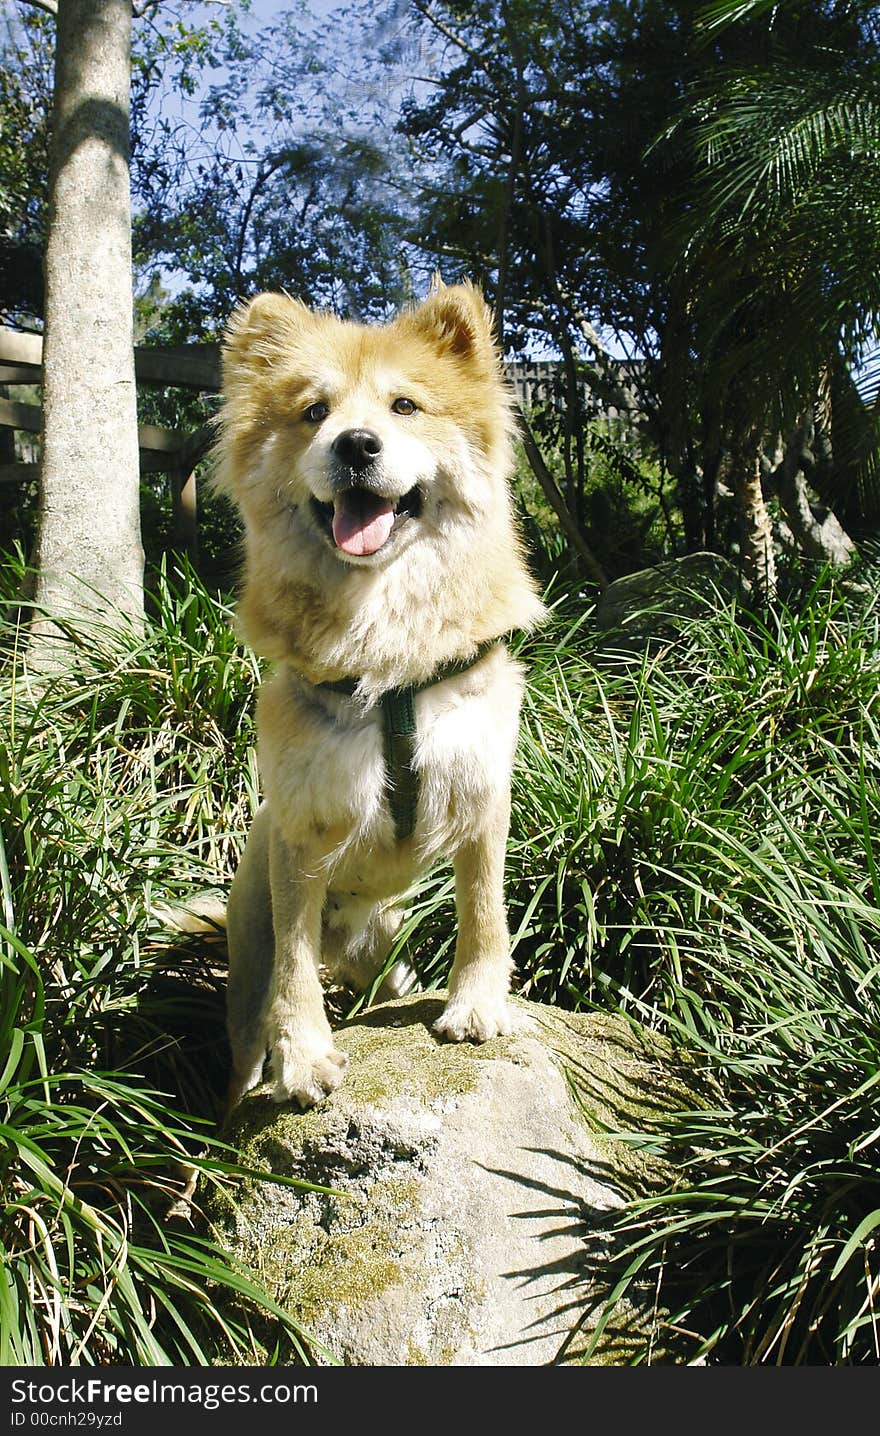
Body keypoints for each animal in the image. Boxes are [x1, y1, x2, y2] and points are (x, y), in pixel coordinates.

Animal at [213, 282, 542, 1108]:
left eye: (404, 406)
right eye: (312, 412)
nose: (356, 446)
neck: (387, 657)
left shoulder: (482, 793)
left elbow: (484, 914)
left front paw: (477, 1004)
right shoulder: (302, 834)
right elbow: (296, 968)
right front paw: (301, 1057)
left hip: (381, 944)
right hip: (251, 957)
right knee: (251, 1032)